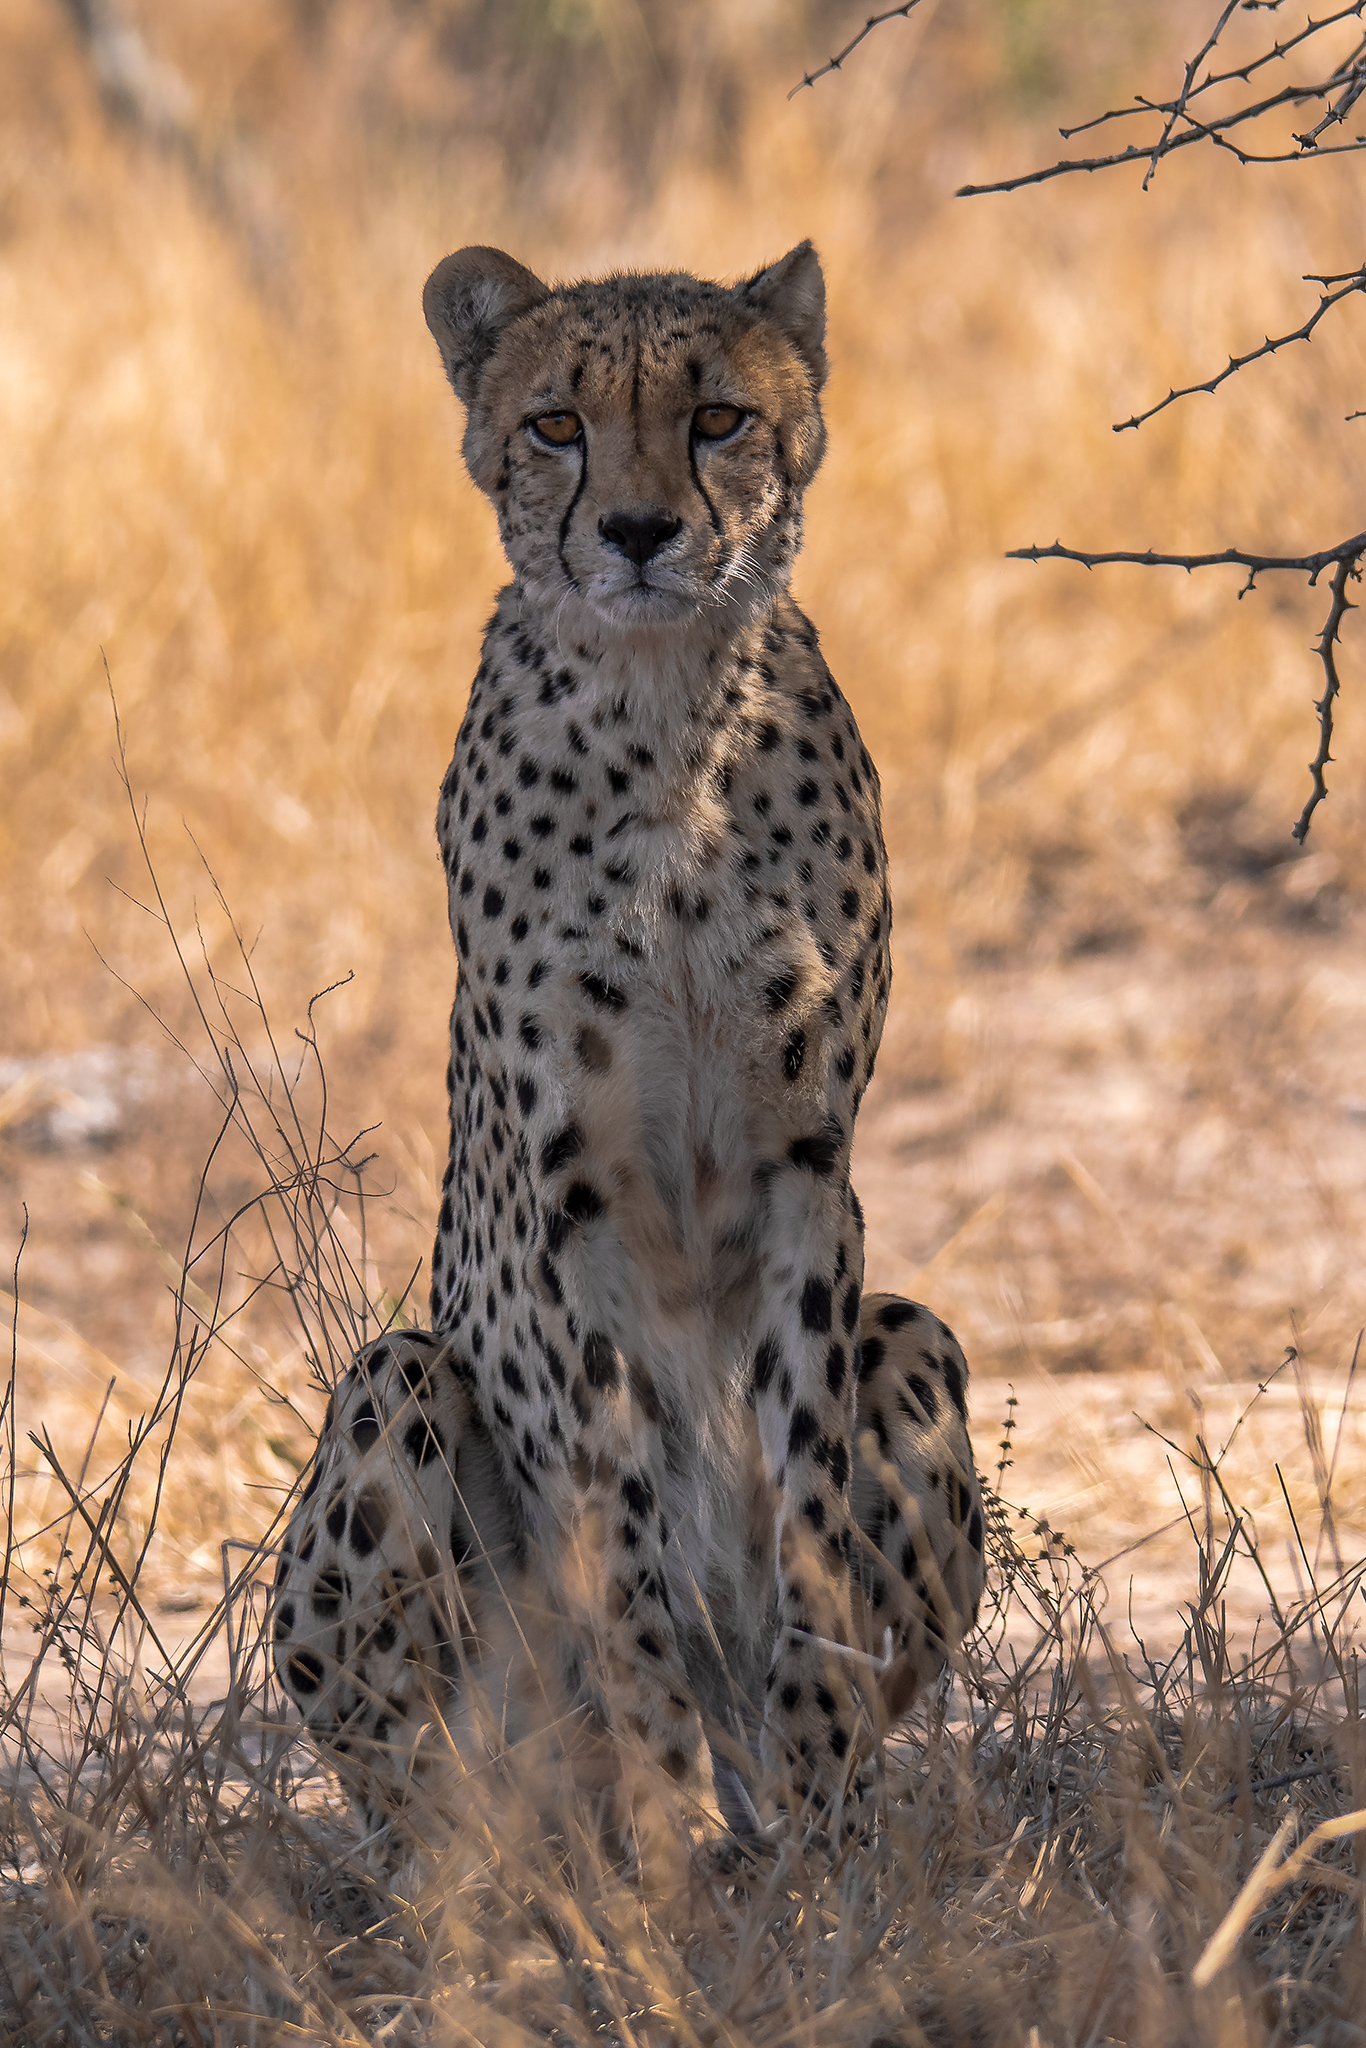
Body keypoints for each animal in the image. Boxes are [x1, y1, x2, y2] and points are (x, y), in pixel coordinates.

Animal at [272, 241, 986, 1860]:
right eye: (557, 424)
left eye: (717, 417)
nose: (642, 530)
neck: (669, 714)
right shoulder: (563, 1205)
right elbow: (620, 1536)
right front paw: (669, 1826)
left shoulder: (806, 1171)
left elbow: (810, 1519)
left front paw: (816, 1807)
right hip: (400, 1386)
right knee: (432, 1781)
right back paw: (534, 1847)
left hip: (913, 1333)